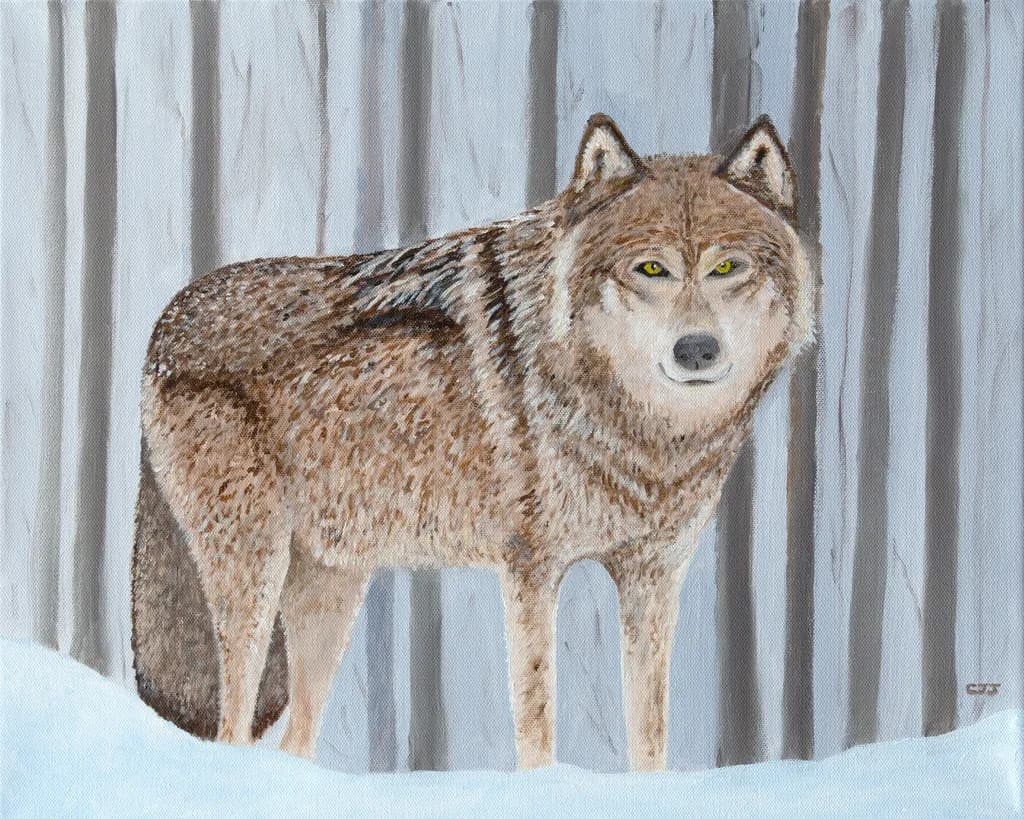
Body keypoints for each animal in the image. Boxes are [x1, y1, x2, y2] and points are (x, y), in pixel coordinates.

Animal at [132, 113, 813, 771]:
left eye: (726, 267)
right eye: (652, 268)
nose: (697, 349)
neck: (647, 435)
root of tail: (166, 318)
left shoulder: (655, 575)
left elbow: (650, 735)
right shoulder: (531, 571)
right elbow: (537, 720)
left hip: (330, 590)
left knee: (293, 742)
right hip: (255, 575)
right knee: (231, 728)